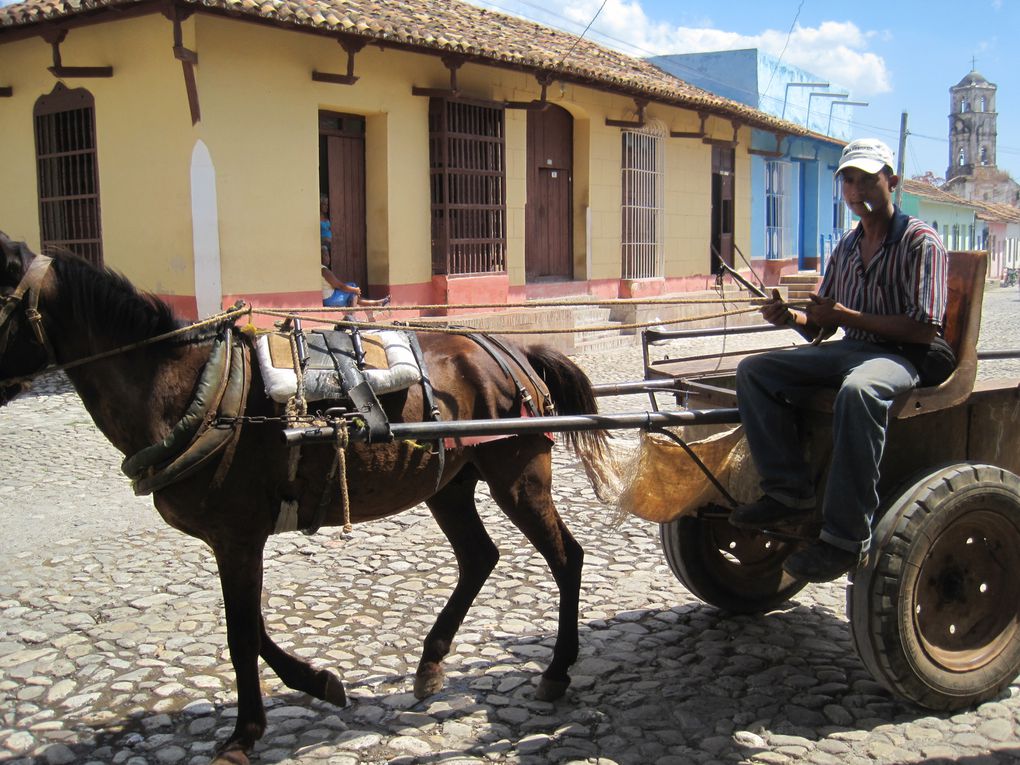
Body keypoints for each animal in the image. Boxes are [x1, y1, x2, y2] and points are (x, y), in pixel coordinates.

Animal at [0, 233, 612, 765]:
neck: (195, 389)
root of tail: (513, 350)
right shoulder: (233, 540)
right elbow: (251, 627)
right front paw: (320, 683)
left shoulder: (238, 536)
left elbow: (242, 633)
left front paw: (243, 735)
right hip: (449, 484)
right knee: (480, 557)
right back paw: (431, 662)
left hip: (518, 476)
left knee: (566, 558)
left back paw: (557, 670)